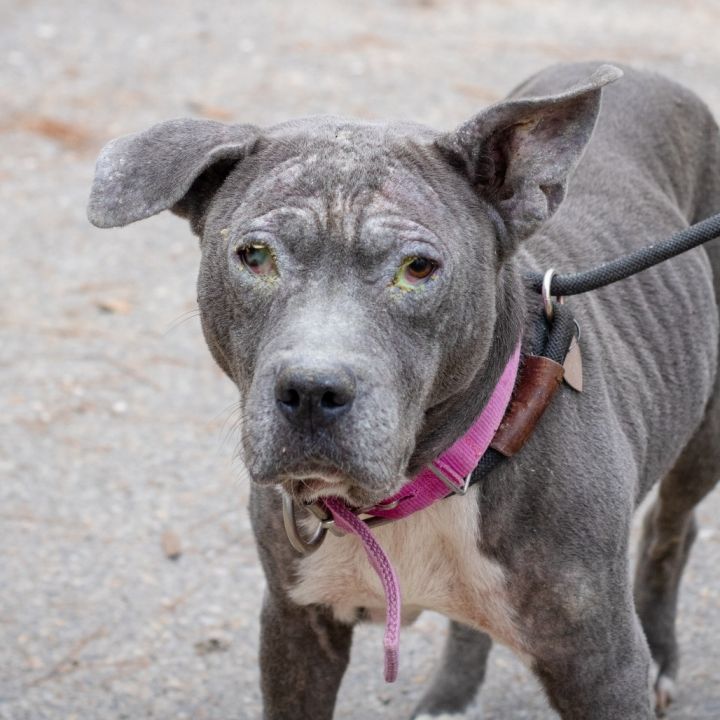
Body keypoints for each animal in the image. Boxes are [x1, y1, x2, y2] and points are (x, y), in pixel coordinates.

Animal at [87, 63, 716, 720]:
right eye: (254, 256)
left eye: (417, 269)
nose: (311, 391)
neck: (412, 492)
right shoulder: (295, 628)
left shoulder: (599, 663)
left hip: (706, 440)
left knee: (674, 527)